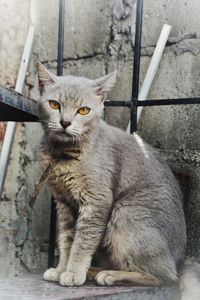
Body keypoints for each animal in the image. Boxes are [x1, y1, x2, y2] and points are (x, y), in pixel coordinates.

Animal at [36, 61, 200, 298]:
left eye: (83, 110)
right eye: (54, 104)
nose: (65, 122)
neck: (64, 154)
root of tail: (180, 259)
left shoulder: (96, 201)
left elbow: (82, 242)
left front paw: (73, 272)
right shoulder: (64, 203)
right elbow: (66, 240)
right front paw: (61, 269)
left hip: (125, 214)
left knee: (166, 276)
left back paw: (110, 275)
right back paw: (95, 270)